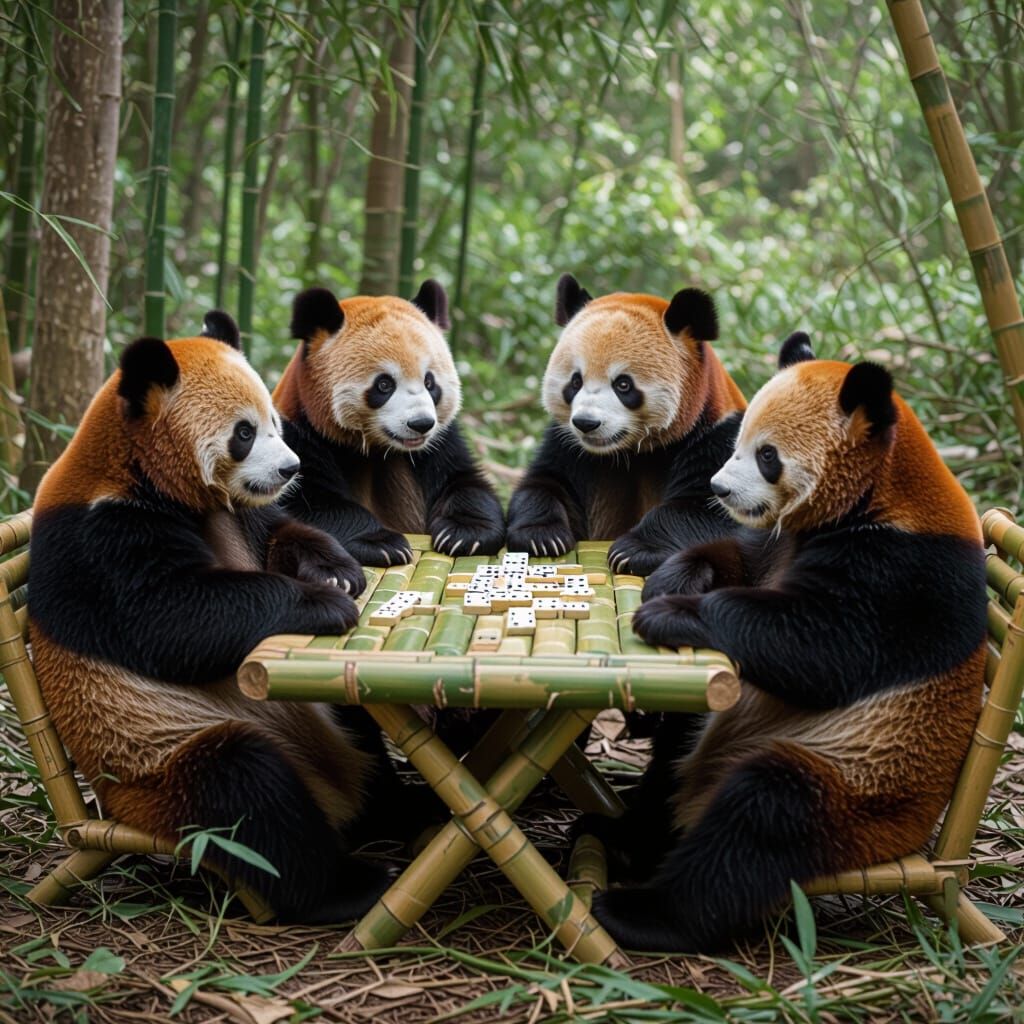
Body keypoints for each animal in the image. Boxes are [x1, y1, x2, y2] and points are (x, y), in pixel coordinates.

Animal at [29, 313, 407, 923]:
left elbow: (279, 530)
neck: (136, 465)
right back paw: (349, 884)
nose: (291, 468)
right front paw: (324, 601)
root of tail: (334, 791)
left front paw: (339, 570)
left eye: (277, 421)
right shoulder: (98, 538)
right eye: (245, 432)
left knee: (359, 726)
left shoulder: (235, 514)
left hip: (317, 711)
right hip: (159, 767)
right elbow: (173, 616)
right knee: (246, 793)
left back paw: (398, 809)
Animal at [274, 280, 505, 564]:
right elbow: (310, 502)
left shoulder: (440, 441)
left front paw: (466, 533)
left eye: (430, 382)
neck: (373, 449)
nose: (421, 424)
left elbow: (462, 480)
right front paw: (381, 544)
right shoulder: (296, 434)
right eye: (384, 384)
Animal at [506, 274, 747, 574]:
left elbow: (708, 507)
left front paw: (633, 551)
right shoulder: (569, 445)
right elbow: (547, 483)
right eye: (575, 381)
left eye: (623, 384)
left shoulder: (718, 437)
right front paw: (542, 536)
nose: (586, 423)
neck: (632, 452)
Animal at [587, 333, 988, 952]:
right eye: (738, 442)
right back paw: (624, 834)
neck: (882, 489)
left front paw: (669, 613)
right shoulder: (782, 539)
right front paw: (672, 579)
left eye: (767, 456)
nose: (719, 489)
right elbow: (739, 557)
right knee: (677, 748)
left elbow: (820, 644)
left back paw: (640, 912)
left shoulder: (908, 571)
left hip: (859, 790)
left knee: (762, 820)